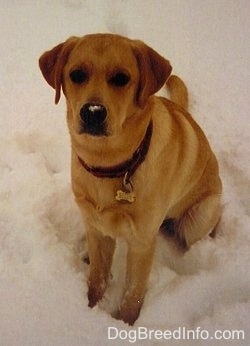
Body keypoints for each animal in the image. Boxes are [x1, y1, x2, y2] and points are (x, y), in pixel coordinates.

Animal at [38, 33, 222, 326]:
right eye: (76, 74)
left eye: (121, 78)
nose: (92, 111)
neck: (111, 165)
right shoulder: (97, 228)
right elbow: (98, 278)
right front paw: (90, 308)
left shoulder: (142, 243)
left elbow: (133, 294)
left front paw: (124, 325)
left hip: (201, 215)